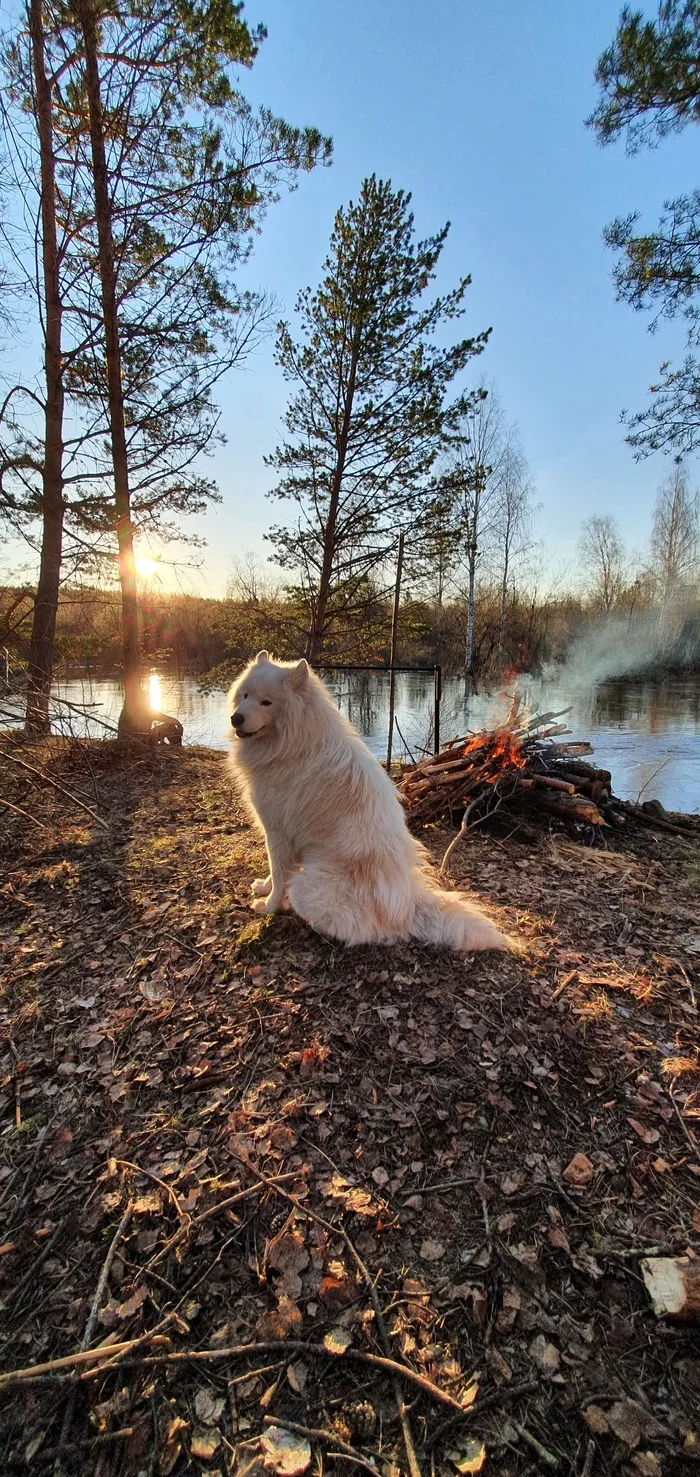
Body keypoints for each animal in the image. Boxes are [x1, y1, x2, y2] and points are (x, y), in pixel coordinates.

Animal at [228, 652, 508, 951]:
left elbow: (279, 873)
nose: (235, 718)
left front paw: (269, 906)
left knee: (364, 931)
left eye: (266, 702)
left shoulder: (279, 832)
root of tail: (408, 907)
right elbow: (273, 870)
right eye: (245, 695)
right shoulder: (275, 834)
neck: (294, 743)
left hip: (304, 885)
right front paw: (264, 887)